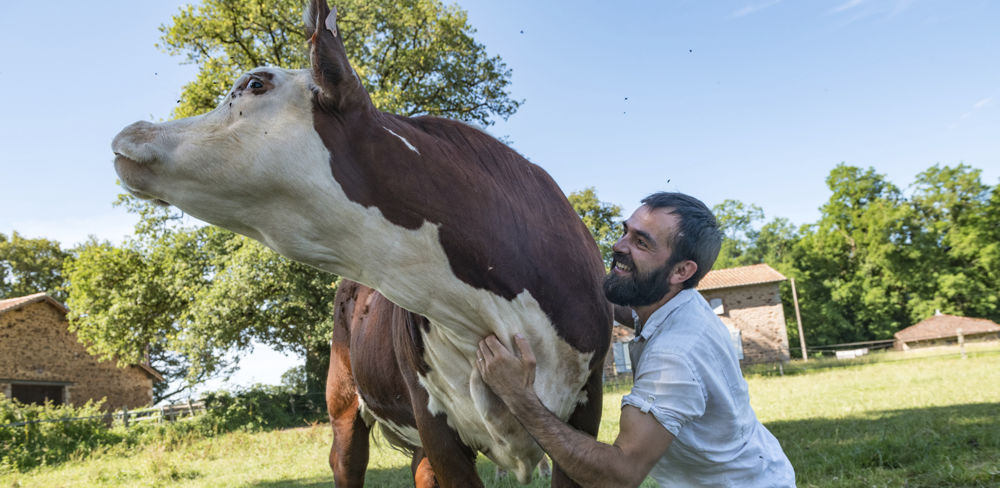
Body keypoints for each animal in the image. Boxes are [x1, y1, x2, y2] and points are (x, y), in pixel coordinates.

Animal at [112, 0, 611, 486]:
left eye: (254, 83)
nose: (132, 130)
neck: (487, 309)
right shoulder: (435, 424)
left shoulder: (586, 409)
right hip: (343, 403)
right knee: (346, 461)